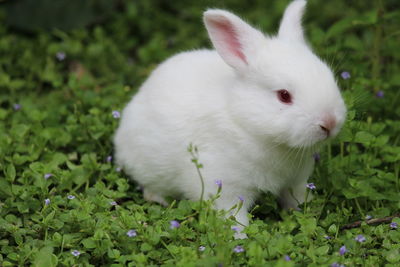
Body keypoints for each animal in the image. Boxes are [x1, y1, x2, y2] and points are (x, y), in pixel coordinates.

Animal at [113, 0, 346, 239]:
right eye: (284, 95)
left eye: (329, 77)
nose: (329, 123)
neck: (247, 123)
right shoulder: (224, 187)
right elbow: (234, 217)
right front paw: (240, 240)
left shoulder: (296, 181)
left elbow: (296, 201)